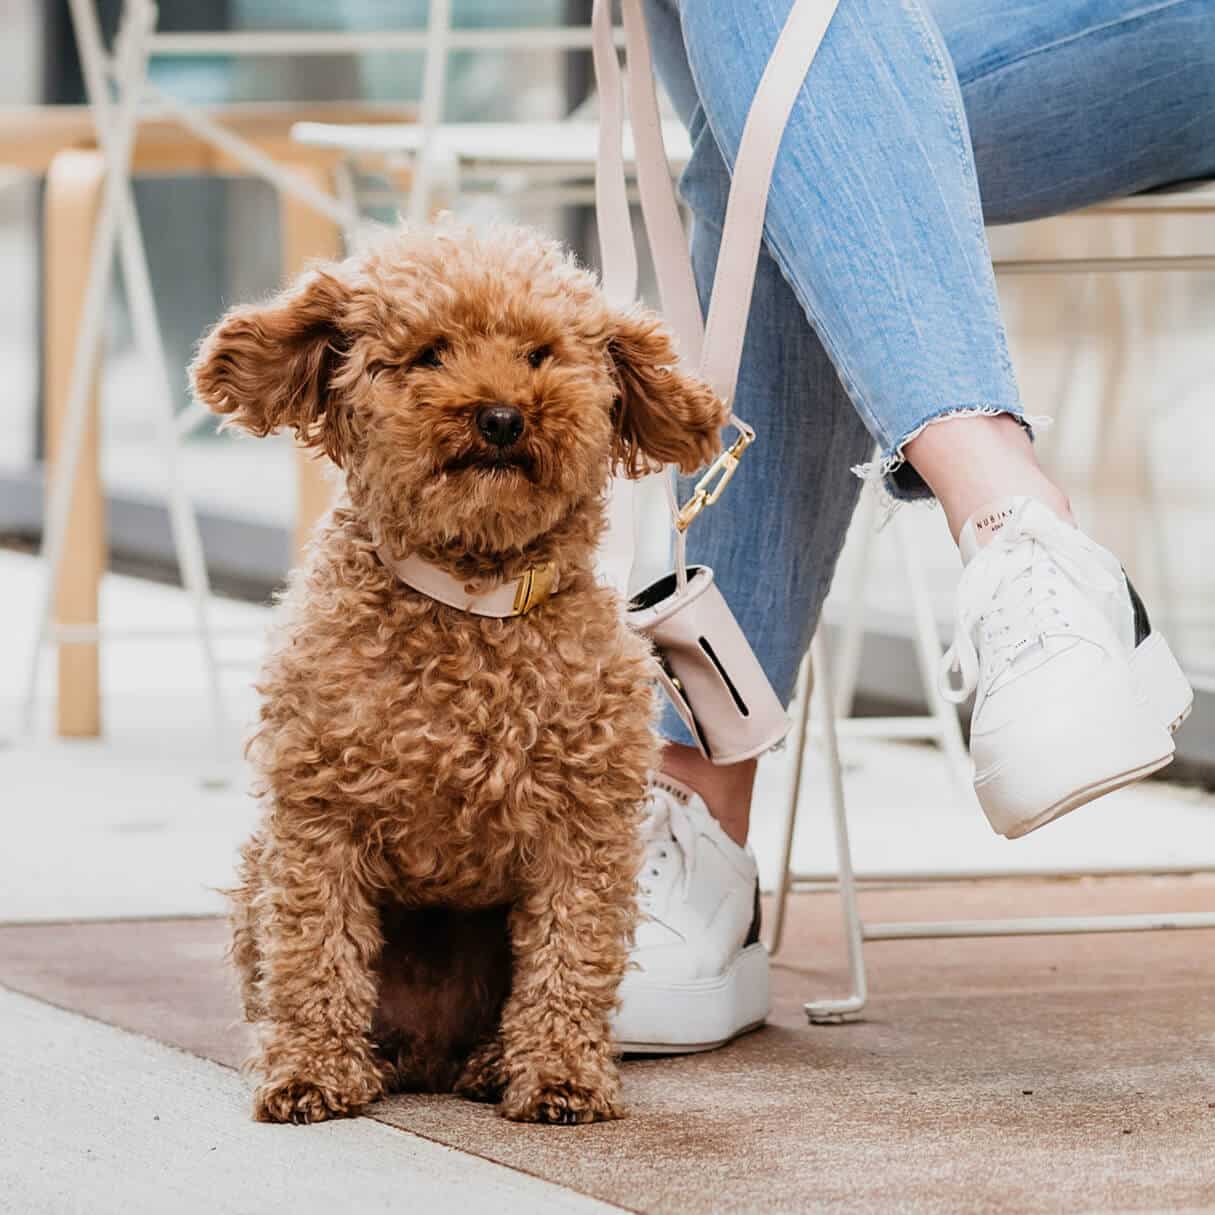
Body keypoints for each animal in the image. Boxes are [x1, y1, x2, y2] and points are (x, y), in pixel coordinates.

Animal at [188, 221, 719, 1127]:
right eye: (430, 353)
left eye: (539, 354)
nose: (501, 415)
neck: (472, 601)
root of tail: (427, 1050)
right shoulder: (318, 815)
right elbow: (314, 946)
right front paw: (310, 1071)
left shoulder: (583, 828)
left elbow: (569, 952)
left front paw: (559, 1076)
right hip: (258, 870)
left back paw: (492, 1060)